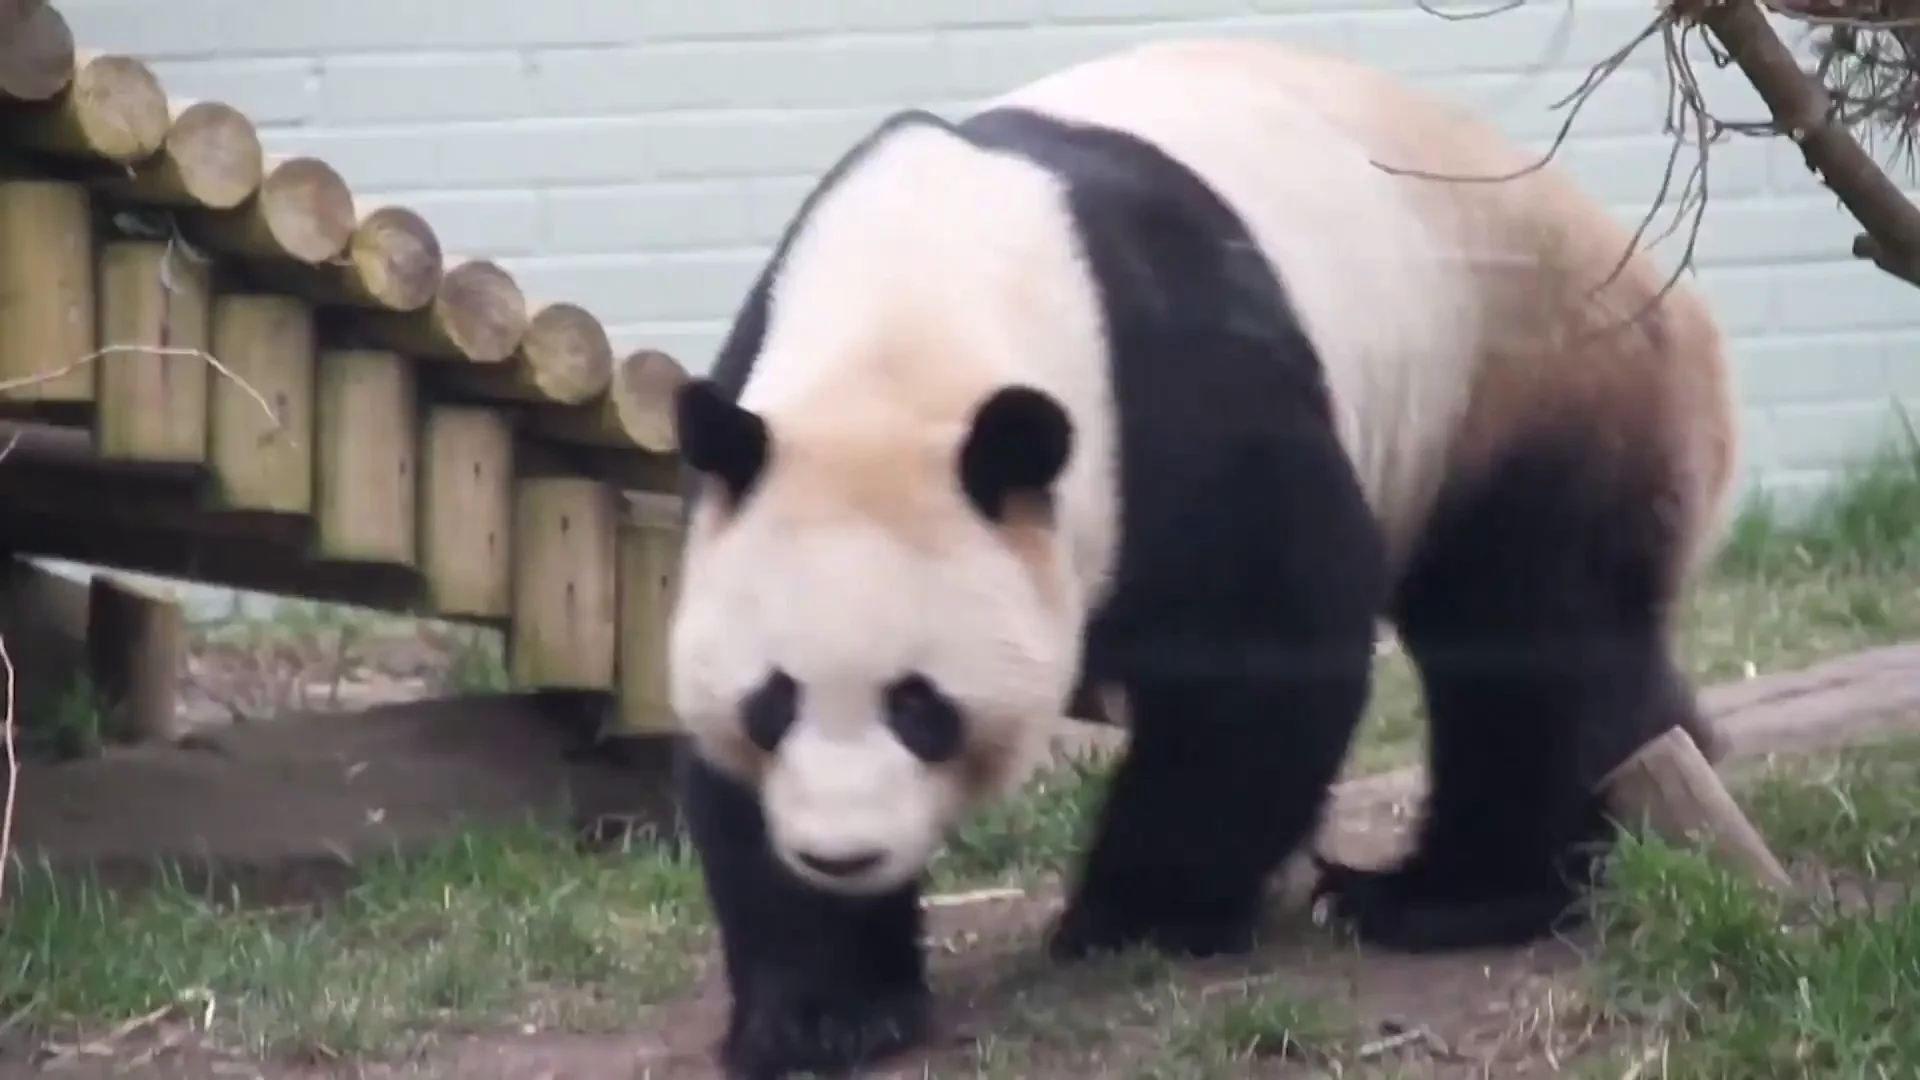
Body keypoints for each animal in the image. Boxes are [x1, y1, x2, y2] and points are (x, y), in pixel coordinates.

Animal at [666, 37, 1737, 1080]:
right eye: (772, 702)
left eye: (921, 706)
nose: (841, 855)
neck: (911, 324)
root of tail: (1672, 298)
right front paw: (825, 1012)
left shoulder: (1167, 388)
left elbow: (1262, 648)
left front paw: (1131, 915)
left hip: (1525, 377)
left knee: (1525, 637)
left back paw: (1446, 895)